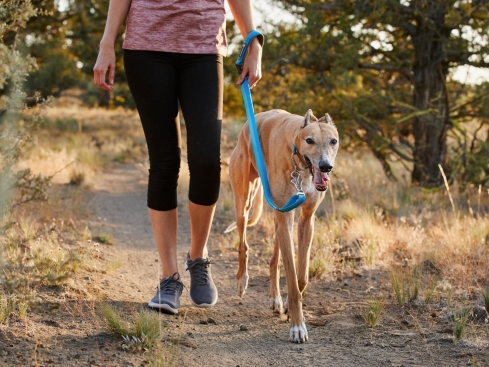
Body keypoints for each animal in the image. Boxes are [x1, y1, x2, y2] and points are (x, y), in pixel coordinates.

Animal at [225, 108, 340, 342]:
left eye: (333, 141)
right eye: (309, 140)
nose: (326, 166)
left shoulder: (306, 219)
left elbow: (301, 277)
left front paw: (287, 304)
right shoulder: (285, 217)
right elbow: (293, 281)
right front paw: (297, 326)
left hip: (281, 217)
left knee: (274, 259)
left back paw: (275, 298)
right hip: (244, 201)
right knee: (243, 245)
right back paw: (242, 280)